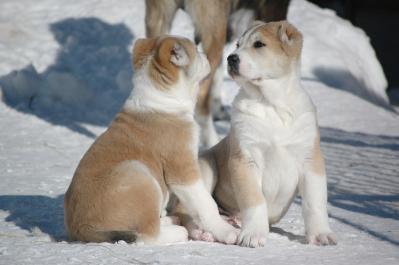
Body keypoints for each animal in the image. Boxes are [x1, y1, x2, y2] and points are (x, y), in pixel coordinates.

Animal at [63, 35, 238, 243]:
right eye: (195, 50)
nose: (207, 56)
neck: (161, 97)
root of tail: (79, 228)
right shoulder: (183, 171)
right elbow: (206, 203)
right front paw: (226, 231)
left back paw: (169, 220)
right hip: (139, 172)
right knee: (149, 234)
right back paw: (177, 230)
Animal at [198, 20, 336, 245]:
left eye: (259, 44)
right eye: (237, 45)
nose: (231, 58)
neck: (272, 105)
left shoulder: (310, 160)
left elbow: (315, 202)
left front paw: (321, 234)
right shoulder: (245, 159)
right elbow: (254, 200)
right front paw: (253, 234)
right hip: (206, 165)